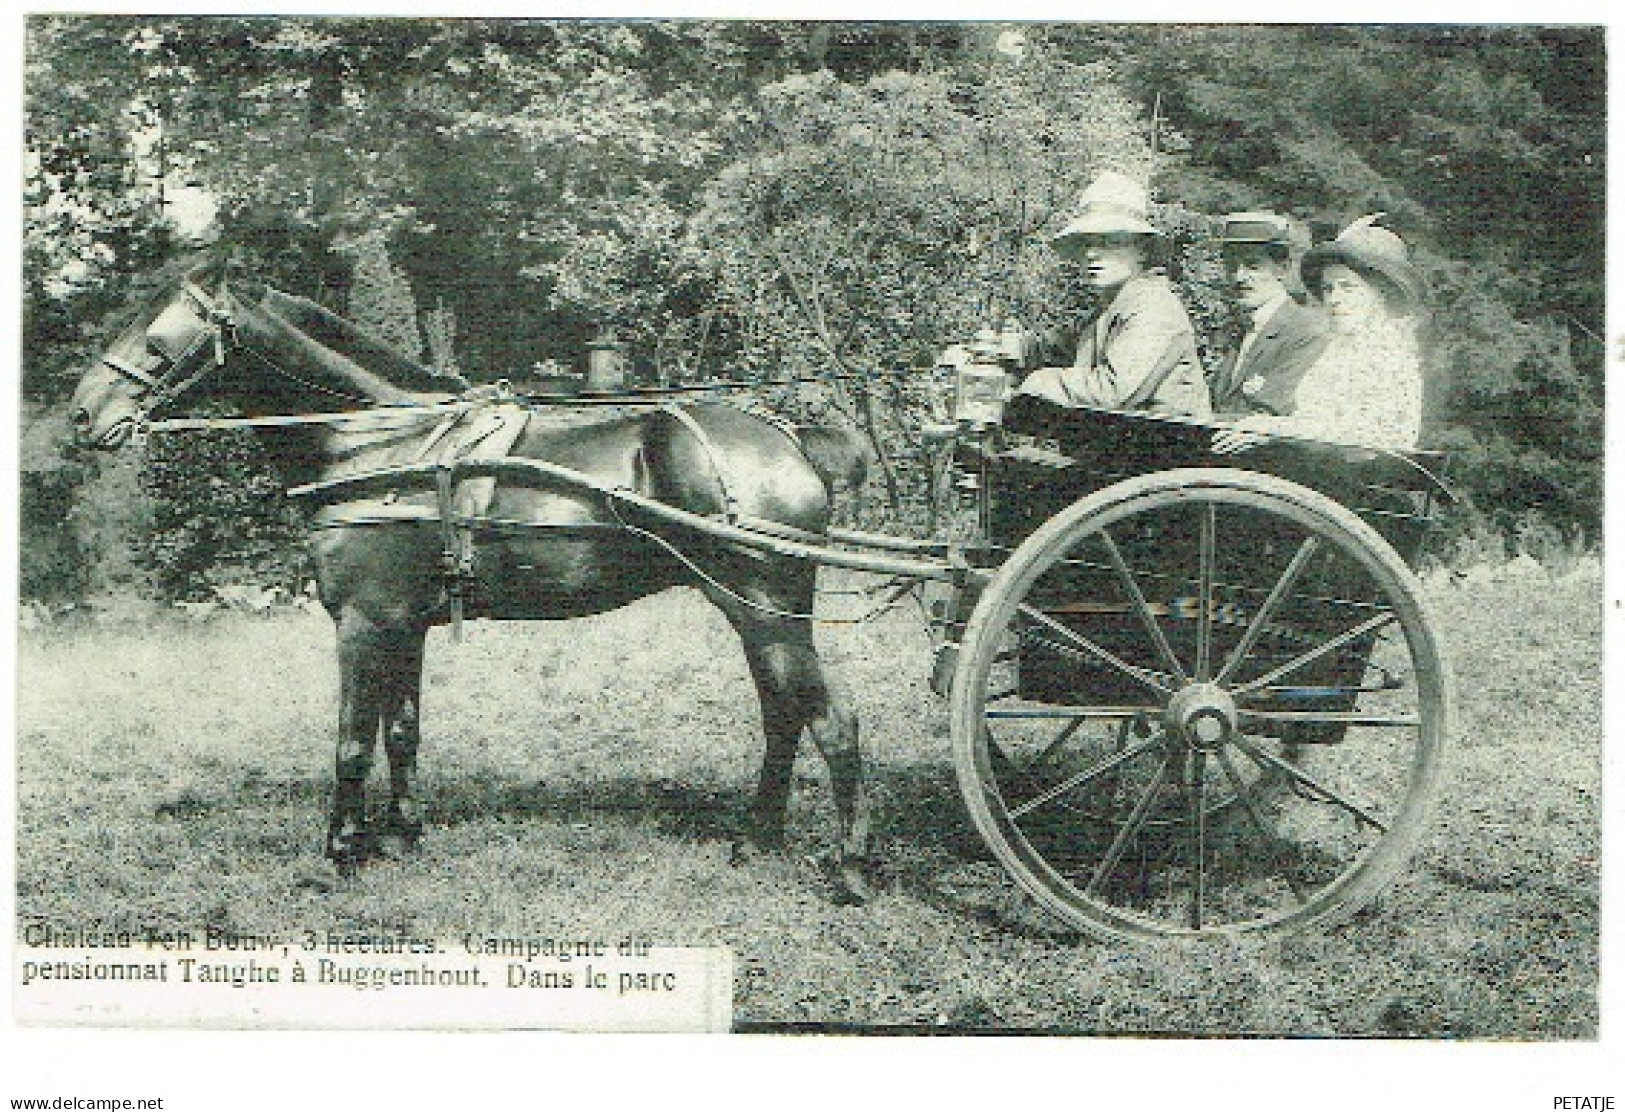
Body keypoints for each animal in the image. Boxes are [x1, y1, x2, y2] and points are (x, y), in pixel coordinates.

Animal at [69, 263, 877, 903]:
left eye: (159, 336)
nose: (82, 415)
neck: (381, 443)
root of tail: (794, 440)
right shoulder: (403, 623)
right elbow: (403, 732)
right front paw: (403, 837)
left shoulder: (363, 621)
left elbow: (352, 740)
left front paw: (339, 853)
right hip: (755, 611)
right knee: (783, 717)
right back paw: (757, 840)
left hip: (766, 609)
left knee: (830, 722)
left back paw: (850, 868)